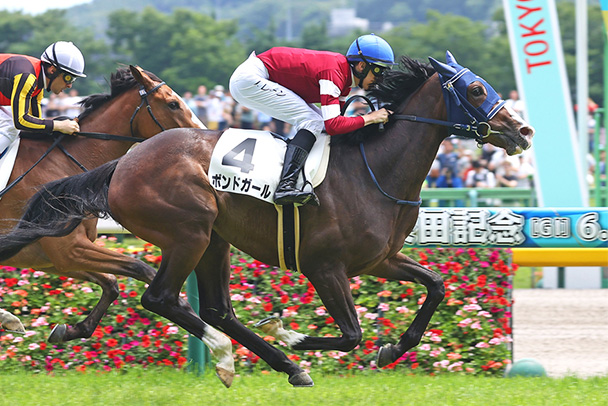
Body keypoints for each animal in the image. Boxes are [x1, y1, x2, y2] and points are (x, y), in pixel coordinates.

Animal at [0, 52, 534, 387]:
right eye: (476, 89)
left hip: (213, 239)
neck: (373, 170)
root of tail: (123, 163)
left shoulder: (378, 260)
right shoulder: (325, 266)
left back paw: (276, 365)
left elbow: (435, 285)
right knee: (161, 297)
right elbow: (351, 333)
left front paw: (393, 349)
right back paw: (232, 356)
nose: (524, 131)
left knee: (215, 308)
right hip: (189, 231)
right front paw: (292, 332)